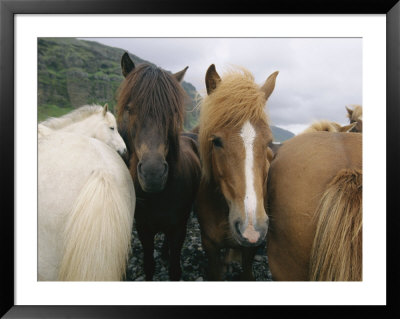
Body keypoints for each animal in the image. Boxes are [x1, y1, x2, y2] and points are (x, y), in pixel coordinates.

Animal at [117, 53, 202, 282]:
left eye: (172, 111)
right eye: (129, 109)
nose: (153, 174)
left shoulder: (179, 228)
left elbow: (174, 269)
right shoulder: (143, 229)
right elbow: (148, 265)